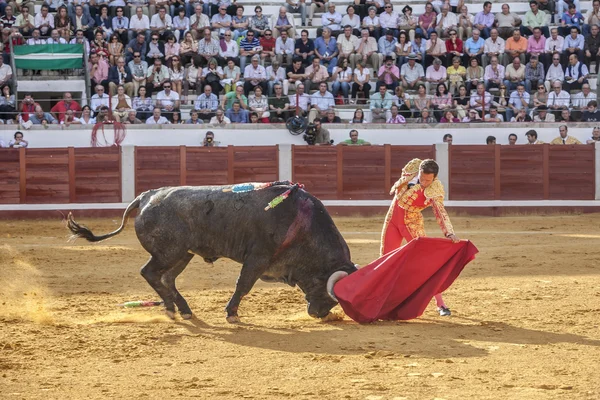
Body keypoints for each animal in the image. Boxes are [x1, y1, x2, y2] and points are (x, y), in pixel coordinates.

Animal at [67, 183, 356, 324]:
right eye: (326, 290)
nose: (320, 314)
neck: (302, 224)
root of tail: (147, 196)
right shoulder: (257, 259)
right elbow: (243, 285)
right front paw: (232, 314)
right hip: (169, 252)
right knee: (149, 273)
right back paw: (171, 309)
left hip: (183, 254)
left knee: (166, 279)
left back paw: (182, 310)